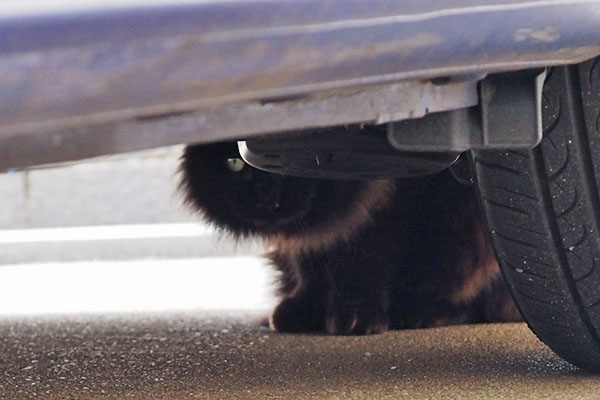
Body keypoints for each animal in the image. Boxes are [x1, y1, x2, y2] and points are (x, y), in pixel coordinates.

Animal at [179, 141, 520, 334]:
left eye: (289, 167)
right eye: (234, 164)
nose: (265, 200)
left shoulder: (382, 209)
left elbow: (362, 263)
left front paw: (357, 316)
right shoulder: (316, 236)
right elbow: (312, 267)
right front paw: (304, 310)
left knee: (475, 301)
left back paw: (421, 313)